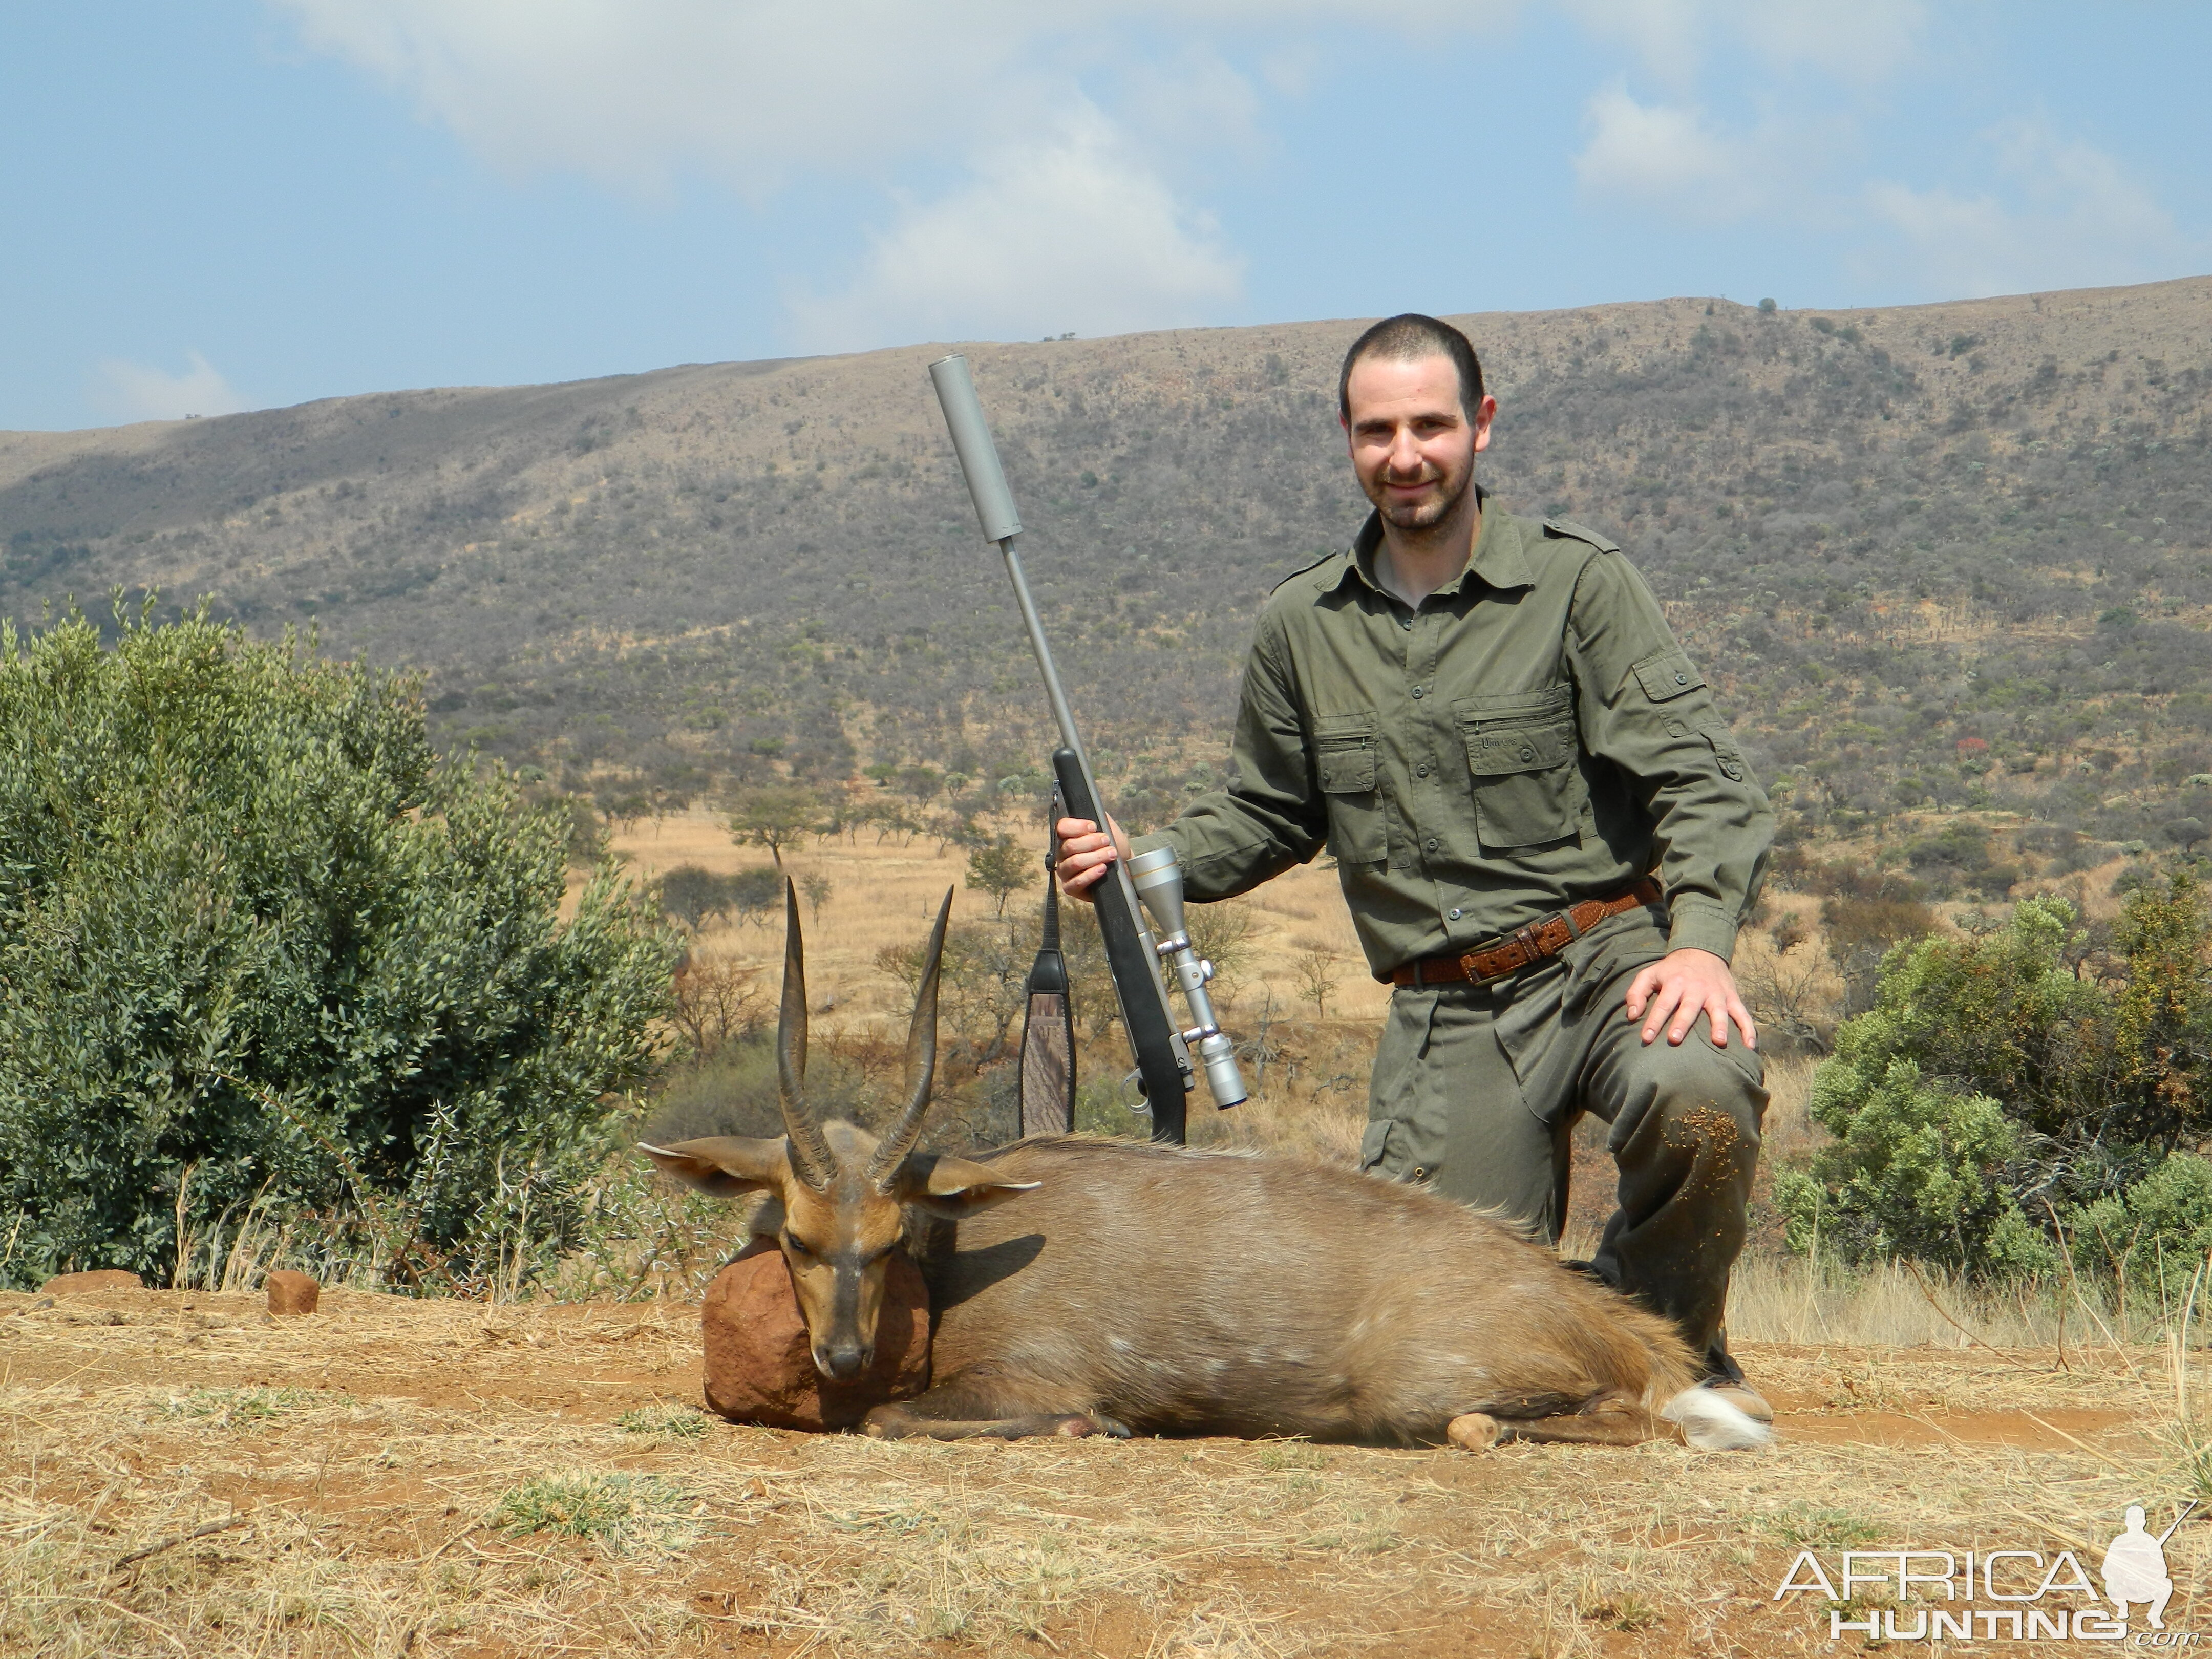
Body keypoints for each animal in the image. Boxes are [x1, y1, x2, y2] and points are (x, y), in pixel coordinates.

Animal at [637, 885, 1760, 1451]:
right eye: (797, 1237)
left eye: (885, 1239)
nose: (839, 1356)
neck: (956, 1258)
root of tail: (1603, 1319)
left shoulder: (1030, 1373)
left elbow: (895, 1420)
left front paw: (1095, 1429)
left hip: (1424, 1391)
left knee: (1579, 1419)